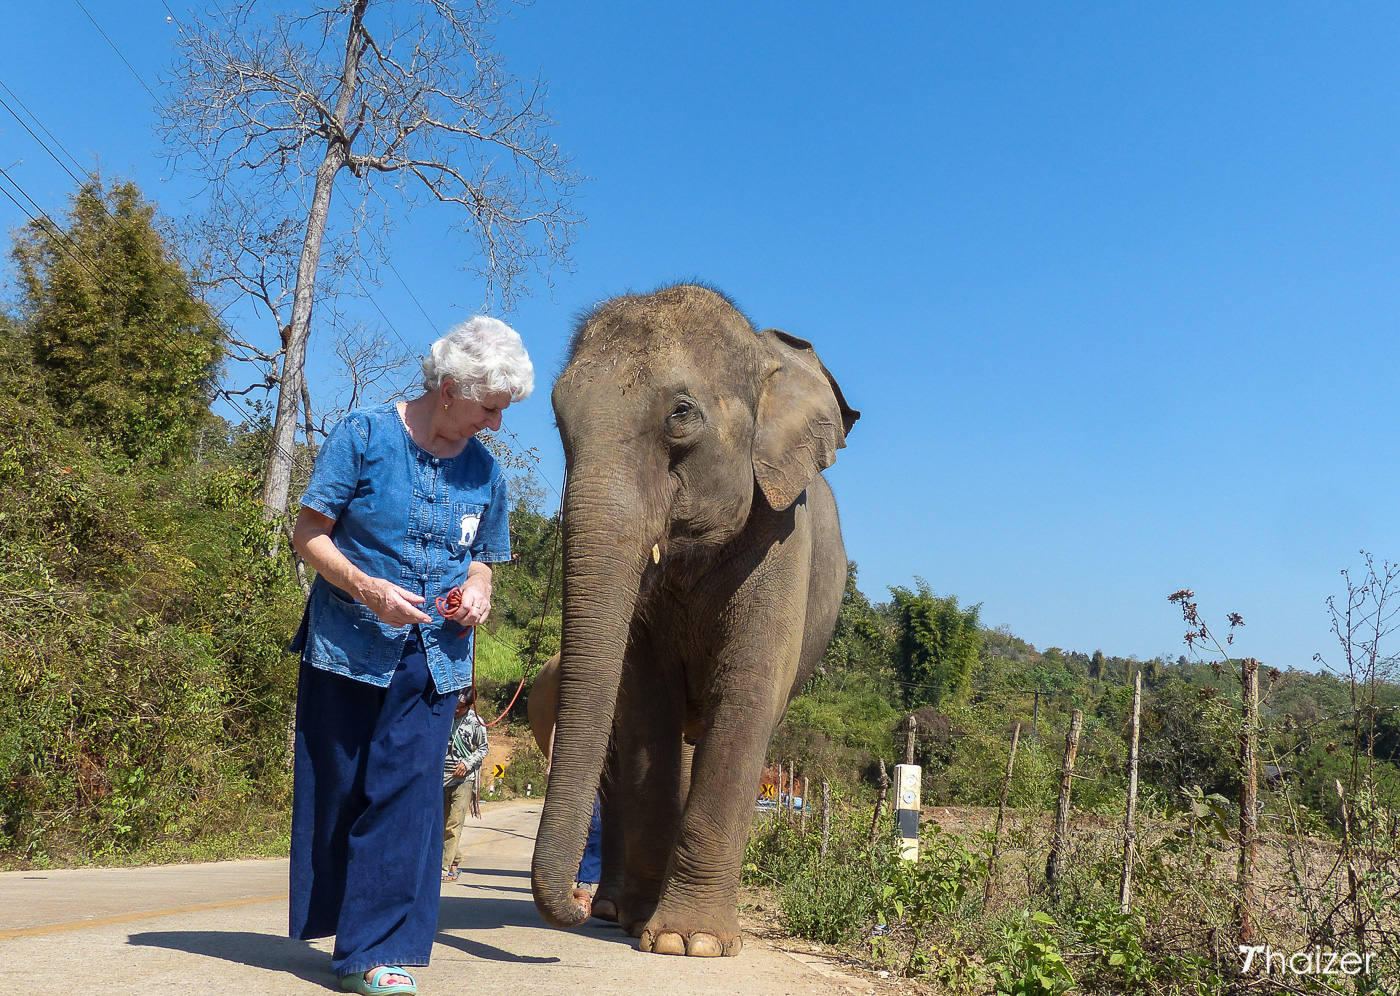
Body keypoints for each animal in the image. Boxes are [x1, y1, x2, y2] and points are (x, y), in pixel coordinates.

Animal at [529, 284, 858, 958]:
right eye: (559, 421)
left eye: (681, 414)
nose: (572, 905)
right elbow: (644, 702)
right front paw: (643, 927)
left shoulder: (785, 540)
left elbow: (748, 694)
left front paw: (691, 943)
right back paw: (617, 910)